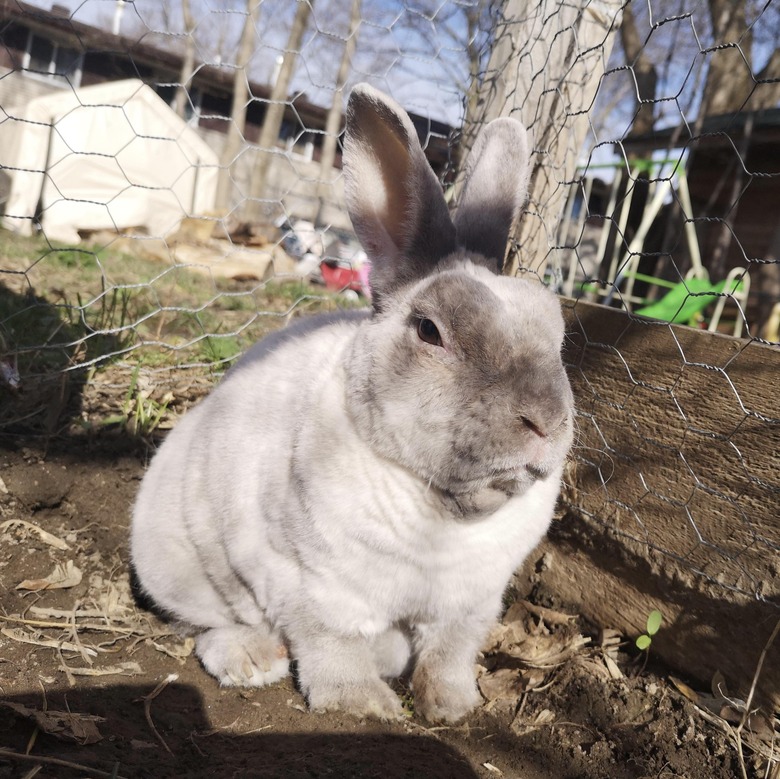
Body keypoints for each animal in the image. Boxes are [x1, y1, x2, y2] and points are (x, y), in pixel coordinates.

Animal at [131, 82, 576, 724]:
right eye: (429, 330)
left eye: (558, 333)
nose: (545, 422)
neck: (443, 513)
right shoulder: (310, 584)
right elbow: (330, 642)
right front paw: (363, 707)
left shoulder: (471, 605)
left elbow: (450, 653)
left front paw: (454, 707)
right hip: (179, 563)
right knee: (205, 623)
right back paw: (252, 659)